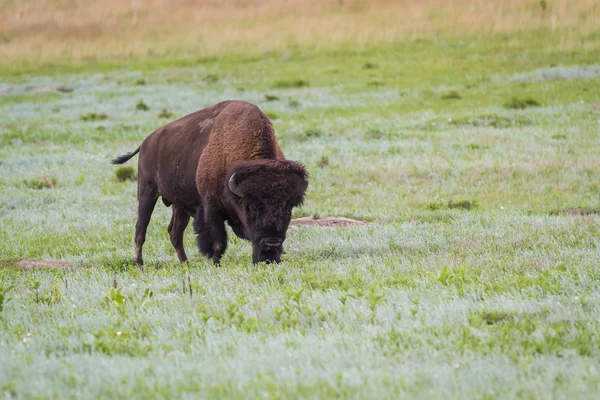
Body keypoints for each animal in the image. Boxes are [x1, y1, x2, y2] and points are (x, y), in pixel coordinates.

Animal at [112, 99, 308, 266]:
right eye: (251, 208)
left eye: (288, 207)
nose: (271, 242)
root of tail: (146, 142)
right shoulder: (211, 209)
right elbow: (218, 242)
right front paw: (216, 264)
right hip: (147, 193)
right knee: (141, 230)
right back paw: (139, 263)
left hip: (179, 205)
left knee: (175, 233)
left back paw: (185, 263)